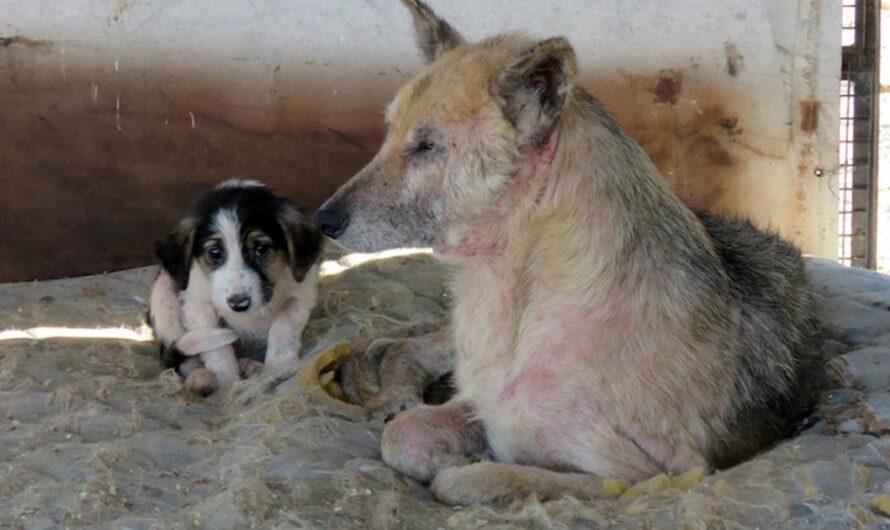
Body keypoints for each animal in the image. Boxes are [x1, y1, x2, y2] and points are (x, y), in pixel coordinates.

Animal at [149, 179, 322, 394]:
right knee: (181, 355)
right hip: (163, 295)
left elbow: (283, 328)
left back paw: (251, 366)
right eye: (215, 252)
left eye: (261, 249)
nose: (239, 304)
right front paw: (228, 384)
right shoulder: (198, 304)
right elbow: (218, 350)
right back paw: (201, 377)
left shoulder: (301, 294)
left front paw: (277, 369)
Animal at [316, 0, 824, 504]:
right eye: (388, 132)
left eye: (426, 146)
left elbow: (482, 478)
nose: (323, 220)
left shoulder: (650, 477)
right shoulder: (481, 401)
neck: (522, 292)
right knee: (413, 348)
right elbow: (402, 435)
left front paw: (468, 466)